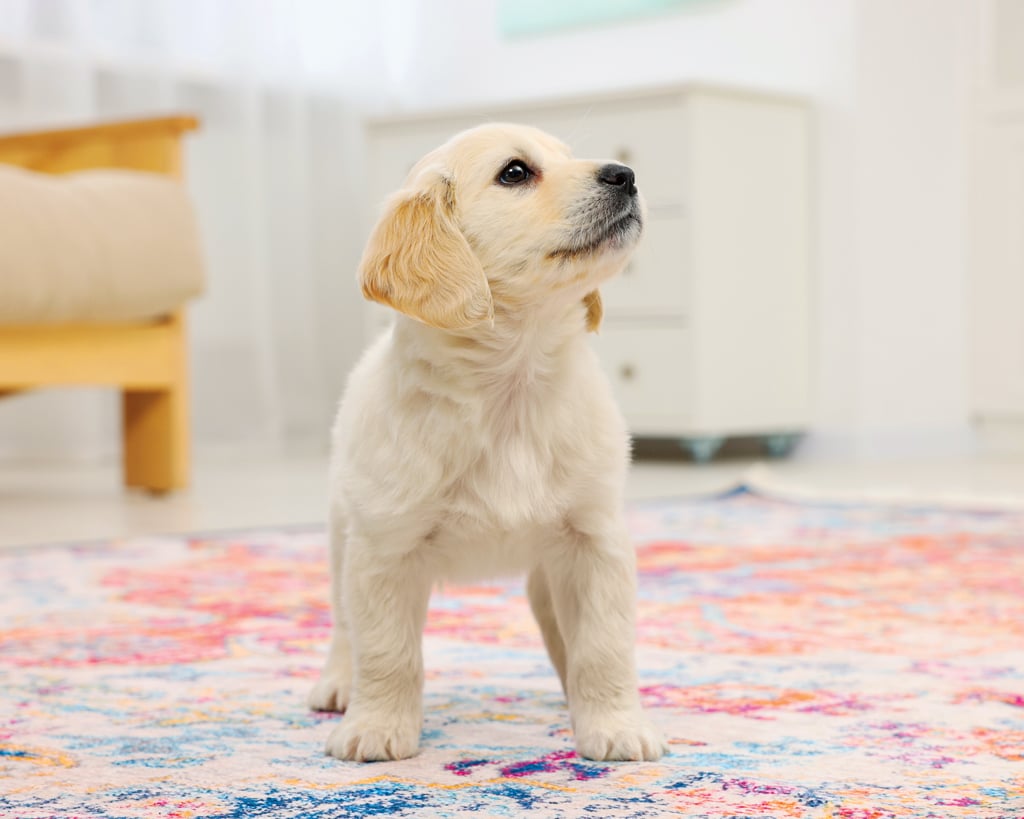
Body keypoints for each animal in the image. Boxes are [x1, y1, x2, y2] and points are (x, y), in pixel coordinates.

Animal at [307, 124, 667, 765]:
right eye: (515, 173)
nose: (625, 174)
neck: (511, 388)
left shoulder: (595, 539)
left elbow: (603, 645)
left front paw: (616, 724)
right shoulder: (383, 548)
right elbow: (387, 650)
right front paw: (377, 726)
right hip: (341, 533)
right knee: (346, 625)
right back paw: (340, 684)